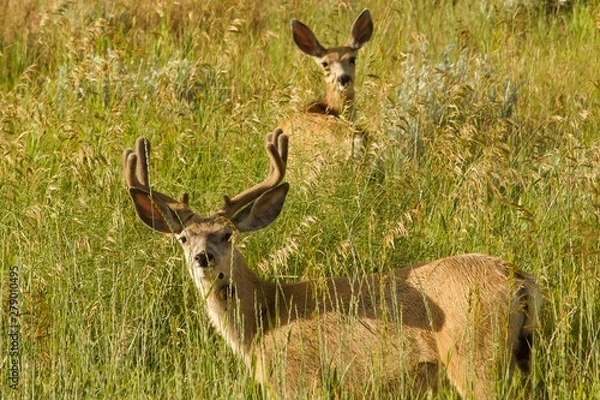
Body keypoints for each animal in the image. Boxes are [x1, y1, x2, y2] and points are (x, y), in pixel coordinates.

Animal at [122, 130, 540, 398]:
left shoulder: (299, 380)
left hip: (476, 358)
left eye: (227, 235)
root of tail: (520, 280)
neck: (264, 321)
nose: (203, 257)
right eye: (183, 238)